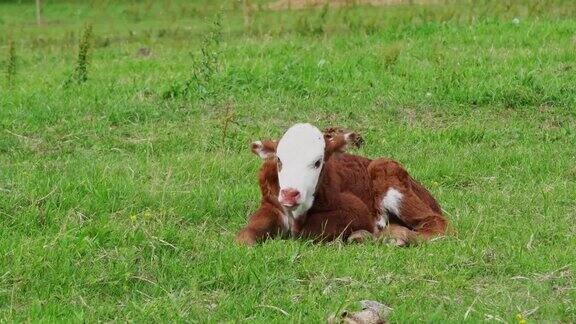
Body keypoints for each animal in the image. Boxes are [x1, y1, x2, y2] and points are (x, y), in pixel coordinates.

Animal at [236, 124, 448, 246]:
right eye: (279, 160)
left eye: (317, 162)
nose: (289, 193)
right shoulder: (271, 203)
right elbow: (247, 232)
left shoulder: (357, 211)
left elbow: (308, 230)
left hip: (390, 175)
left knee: (438, 224)